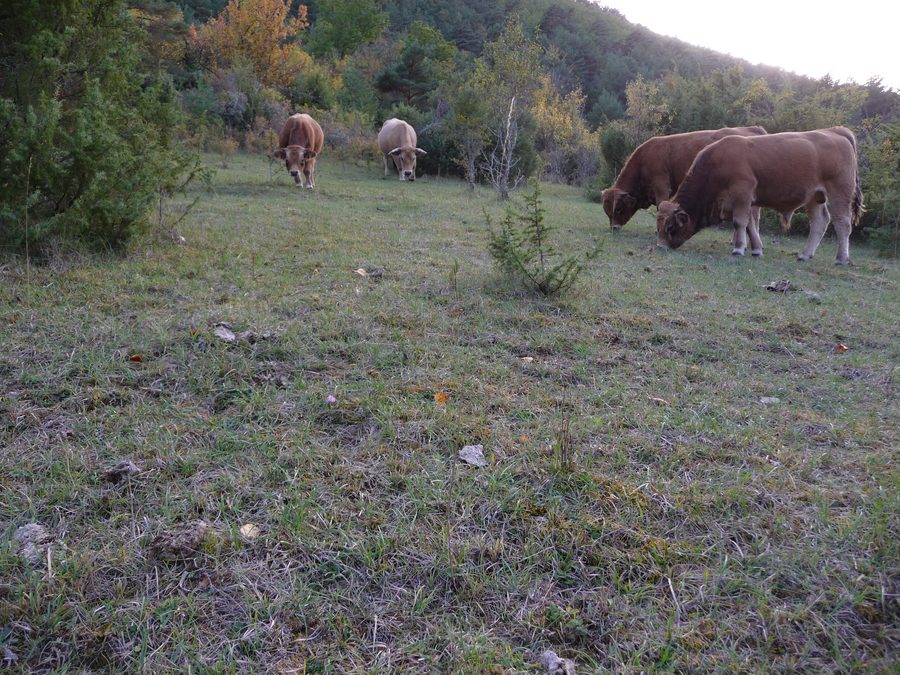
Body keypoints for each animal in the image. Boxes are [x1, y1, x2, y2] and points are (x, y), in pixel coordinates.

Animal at [656, 127, 863, 265]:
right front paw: (756, 249)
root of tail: (836, 131)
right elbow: (750, 225)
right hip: (814, 197)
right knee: (820, 222)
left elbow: (740, 223)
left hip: (840, 193)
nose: (660, 247)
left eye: (670, 227)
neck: (716, 163)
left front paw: (738, 249)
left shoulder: (742, 194)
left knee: (842, 224)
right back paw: (805, 254)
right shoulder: (746, 201)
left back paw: (841, 258)